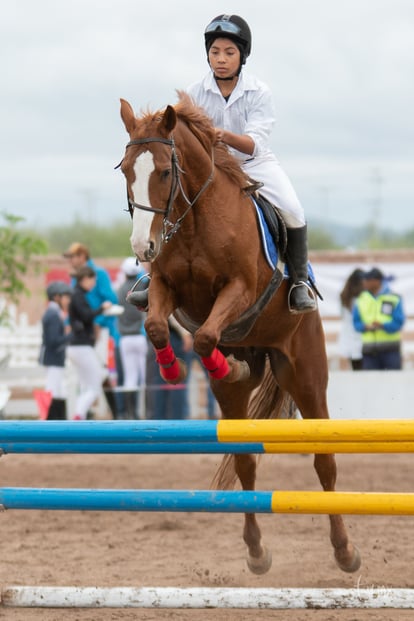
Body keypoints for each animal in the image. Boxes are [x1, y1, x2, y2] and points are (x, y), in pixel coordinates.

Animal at [116, 92, 360, 576]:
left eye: (165, 171)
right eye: (125, 169)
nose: (142, 248)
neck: (193, 218)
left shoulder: (240, 289)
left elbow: (205, 336)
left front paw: (217, 362)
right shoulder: (166, 288)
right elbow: (156, 325)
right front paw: (173, 369)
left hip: (305, 373)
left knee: (324, 461)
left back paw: (344, 551)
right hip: (237, 399)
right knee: (245, 459)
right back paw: (256, 550)